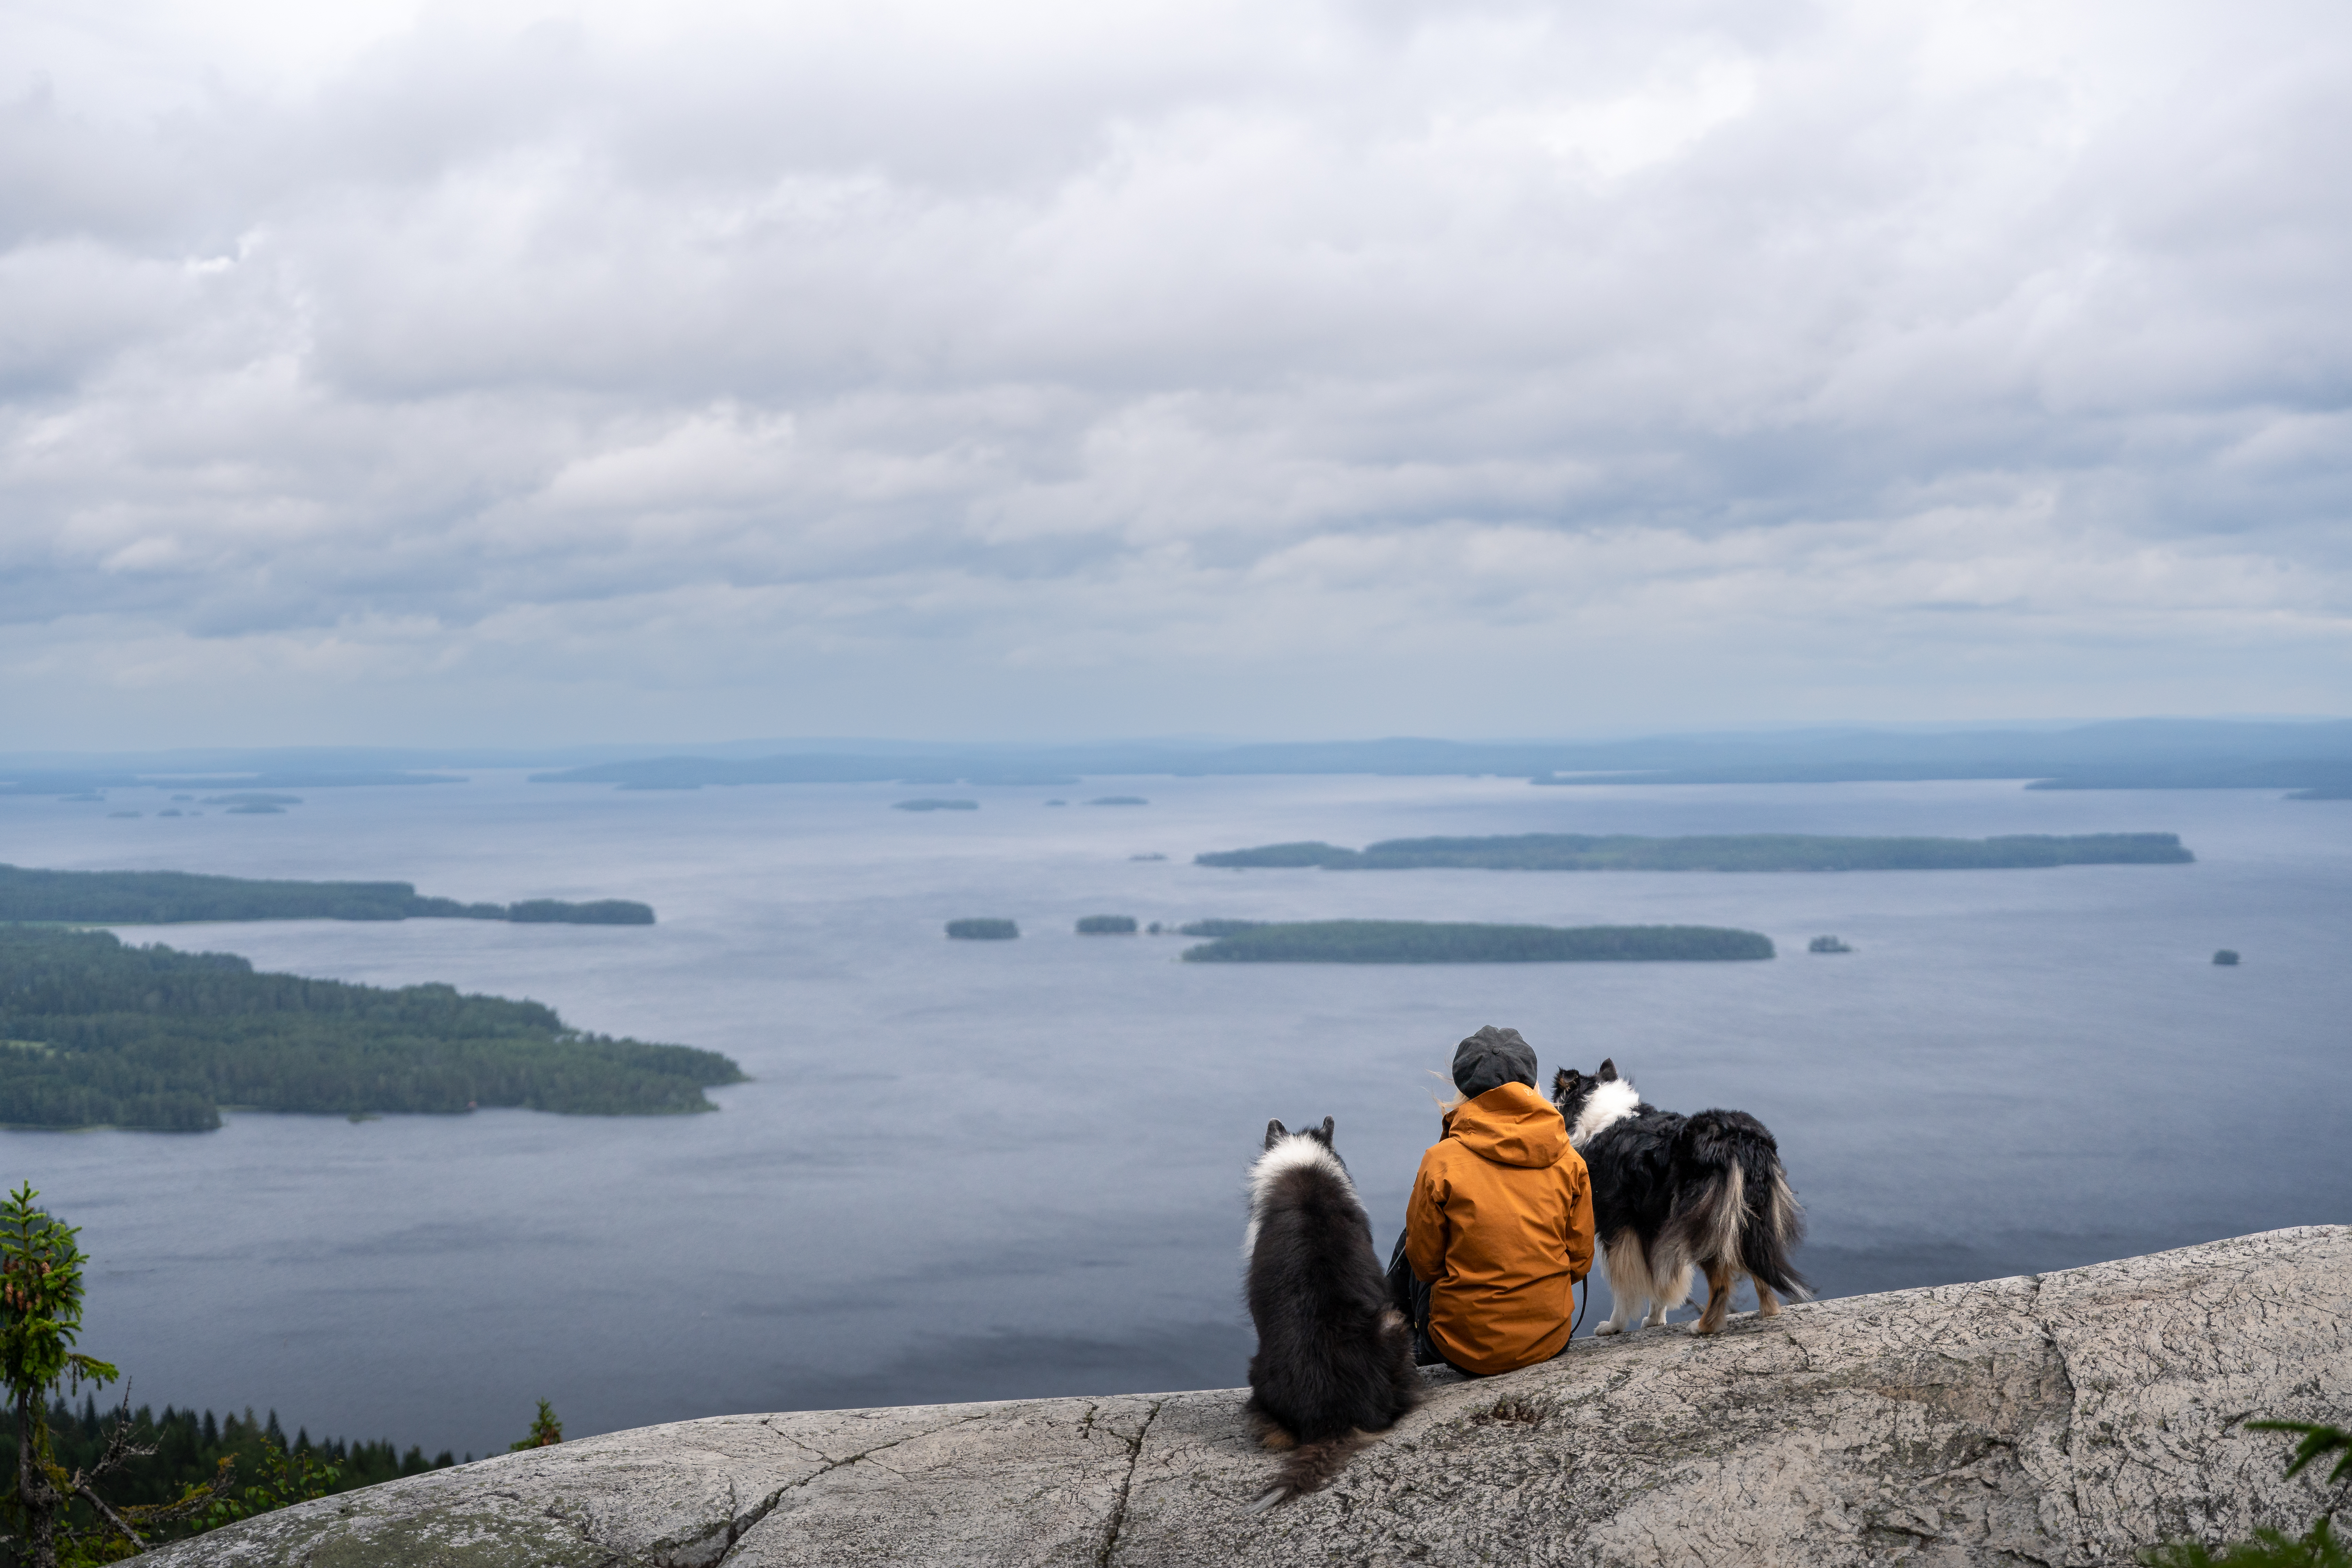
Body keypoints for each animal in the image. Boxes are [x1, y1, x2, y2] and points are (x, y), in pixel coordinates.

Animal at [1552, 1063, 1806, 1335]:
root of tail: (1740, 1139)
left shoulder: (1617, 1229)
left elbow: (1624, 1285)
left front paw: (1613, 1326)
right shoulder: (1653, 1228)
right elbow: (1659, 1278)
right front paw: (1655, 1320)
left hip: (1704, 1224)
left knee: (1721, 1283)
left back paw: (1705, 1326)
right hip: (1749, 1218)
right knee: (1758, 1268)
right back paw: (1767, 1312)